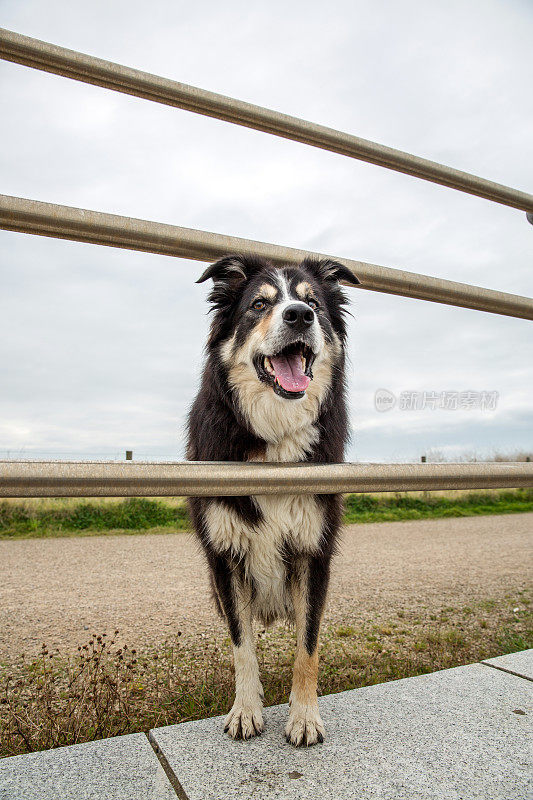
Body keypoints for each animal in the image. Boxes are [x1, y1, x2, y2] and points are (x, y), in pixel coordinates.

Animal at [187, 253, 358, 748]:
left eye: (313, 302)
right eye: (260, 304)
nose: (299, 315)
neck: (275, 445)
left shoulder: (313, 554)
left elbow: (308, 644)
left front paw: (304, 717)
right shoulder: (225, 557)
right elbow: (242, 643)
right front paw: (246, 710)